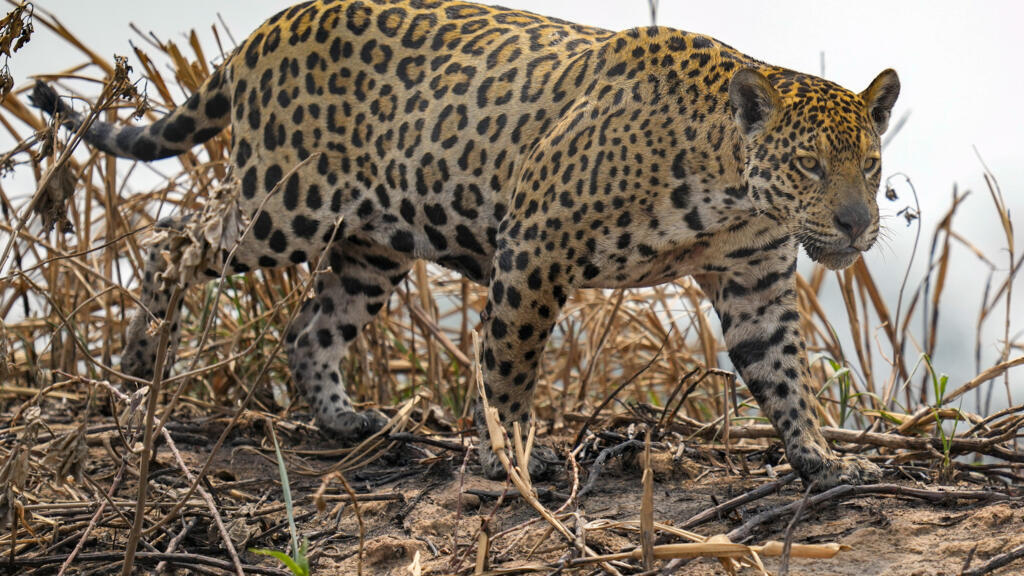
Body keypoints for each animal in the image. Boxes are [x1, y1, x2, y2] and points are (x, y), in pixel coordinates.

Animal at [31, 0, 900, 489]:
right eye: (808, 165)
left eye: (871, 163)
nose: (856, 224)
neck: (730, 194)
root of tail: (266, 29)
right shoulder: (537, 251)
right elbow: (508, 366)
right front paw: (510, 459)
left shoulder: (754, 283)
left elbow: (784, 378)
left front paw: (825, 460)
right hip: (283, 205)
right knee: (174, 241)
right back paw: (137, 371)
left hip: (372, 243)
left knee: (309, 327)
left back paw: (347, 422)